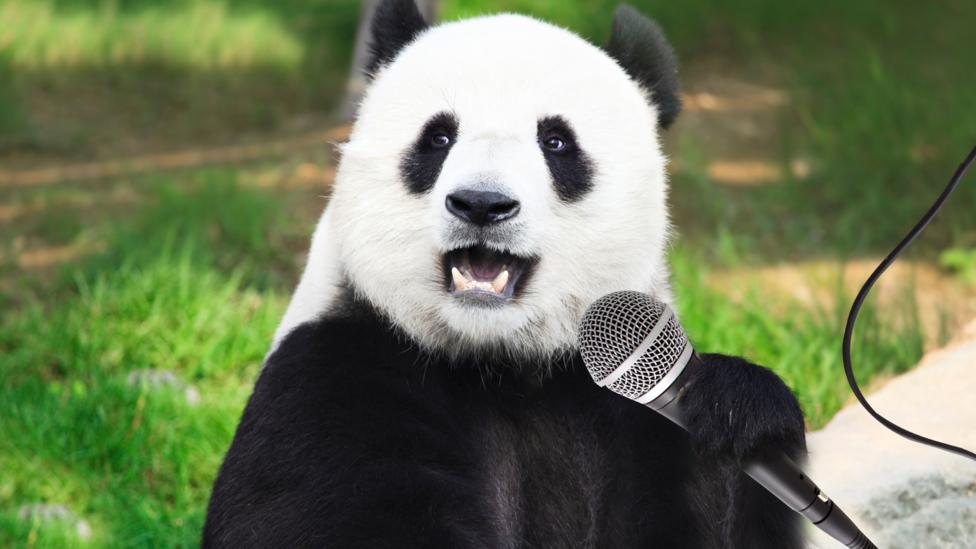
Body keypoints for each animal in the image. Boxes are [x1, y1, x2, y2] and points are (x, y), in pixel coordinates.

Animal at [203, 1, 807, 547]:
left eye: (556, 141)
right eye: (439, 137)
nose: (482, 204)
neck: (503, 363)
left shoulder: (638, 408)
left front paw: (736, 409)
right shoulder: (336, 374)